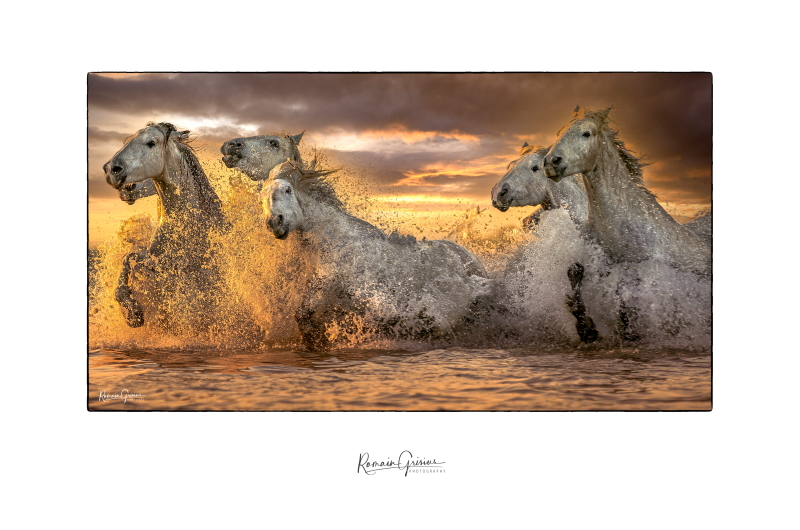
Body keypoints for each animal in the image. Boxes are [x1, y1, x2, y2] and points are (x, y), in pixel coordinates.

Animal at [260, 161, 490, 350]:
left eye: (288, 189)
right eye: (261, 199)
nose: (275, 222)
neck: (339, 245)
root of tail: (471, 257)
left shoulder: (373, 291)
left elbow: (389, 316)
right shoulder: (322, 285)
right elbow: (302, 315)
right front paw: (316, 342)